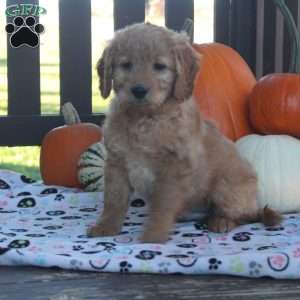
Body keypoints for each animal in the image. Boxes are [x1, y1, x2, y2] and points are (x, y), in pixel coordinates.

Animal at [86, 23, 282, 244]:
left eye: (159, 66)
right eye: (126, 65)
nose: (138, 90)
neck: (145, 119)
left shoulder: (174, 168)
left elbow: (162, 206)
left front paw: (153, 236)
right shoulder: (116, 163)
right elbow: (113, 200)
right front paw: (106, 228)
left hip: (227, 187)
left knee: (243, 216)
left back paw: (221, 221)